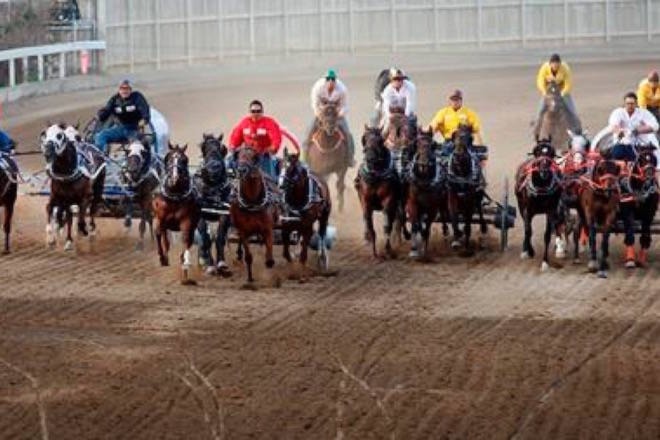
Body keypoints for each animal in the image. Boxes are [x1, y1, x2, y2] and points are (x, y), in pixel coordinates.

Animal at [153, 143, 200, 284]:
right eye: (168, 159)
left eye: (184, 160)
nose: (175, 179)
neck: (174, 195)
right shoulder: (160, 217)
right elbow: (160, 234)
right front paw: (163, 258)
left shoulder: (187, 221)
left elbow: (185, 239)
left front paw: (185, 265)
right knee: (161, 235)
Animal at [229, 146, 278, 284]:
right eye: (238, 155)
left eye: (253, 157)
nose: (241, 170)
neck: (252, 202)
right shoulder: (244, 231)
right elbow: (248, 256)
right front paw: (250, 278)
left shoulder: (268, 229)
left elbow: (269, 253)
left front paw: (269, 268)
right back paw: (239, 253)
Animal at [354, 124, 400, 258]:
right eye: (364, 139)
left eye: (380, 141)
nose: (370, 158)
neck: (375, 176)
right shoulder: (366, 202)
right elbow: (370, 224)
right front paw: (373, 251)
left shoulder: (389, 200)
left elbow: (387, 225)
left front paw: (388, 249)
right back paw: (367, 238)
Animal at [404, 126, 446, 258]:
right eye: (417, 144)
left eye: (432, 145)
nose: (424, 164)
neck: (423, 181)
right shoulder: (412, 203)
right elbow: (415, 225)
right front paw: (414, 250)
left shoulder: (432, 208)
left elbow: (427, 228)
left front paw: (424, 250)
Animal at [516, 141, 564, 270]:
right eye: (537, 152)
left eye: (551, 153)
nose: (544, 171)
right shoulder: (527, 210)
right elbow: (528, 231)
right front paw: (527, 251)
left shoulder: (551, 211)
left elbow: (547, 235)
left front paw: (545, 262)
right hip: (521, 206)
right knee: (526, 228)